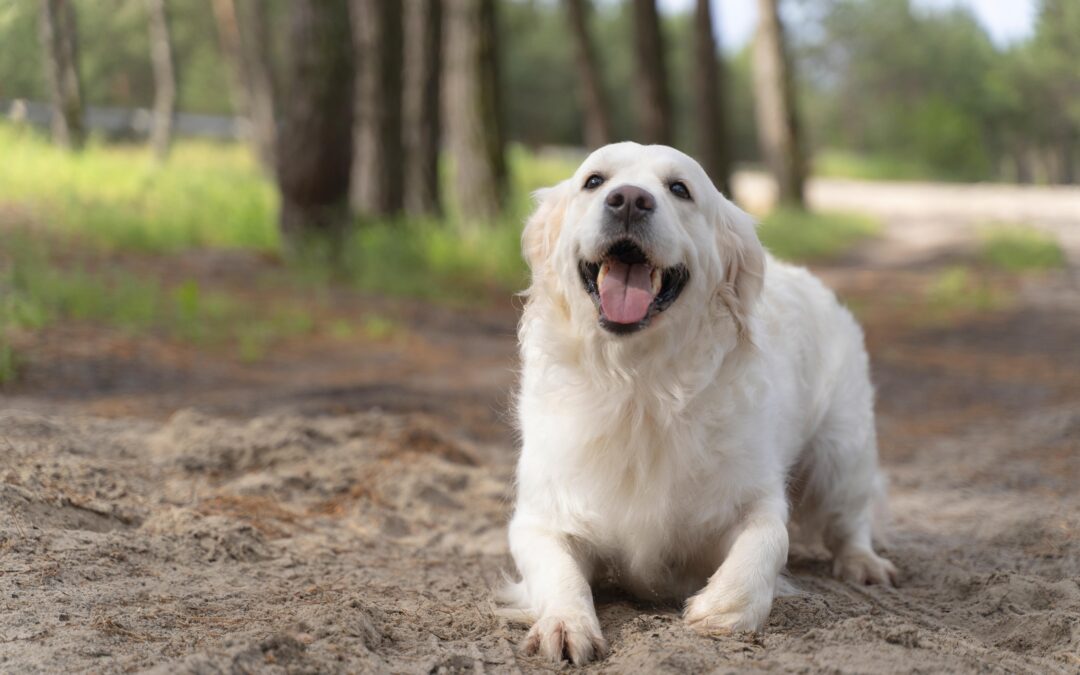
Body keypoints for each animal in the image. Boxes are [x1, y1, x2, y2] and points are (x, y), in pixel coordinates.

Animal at [501, 142, 898, 665]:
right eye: (594, 181)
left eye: (679, 189)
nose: (629, 200)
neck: (639, 386)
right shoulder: (541, 516)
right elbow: (557, 570)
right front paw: (566, 624)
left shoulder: (754, 495)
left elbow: (770, 537)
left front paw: (723, 607)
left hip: (842, 452)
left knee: (851, 517)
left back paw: (864, 563)